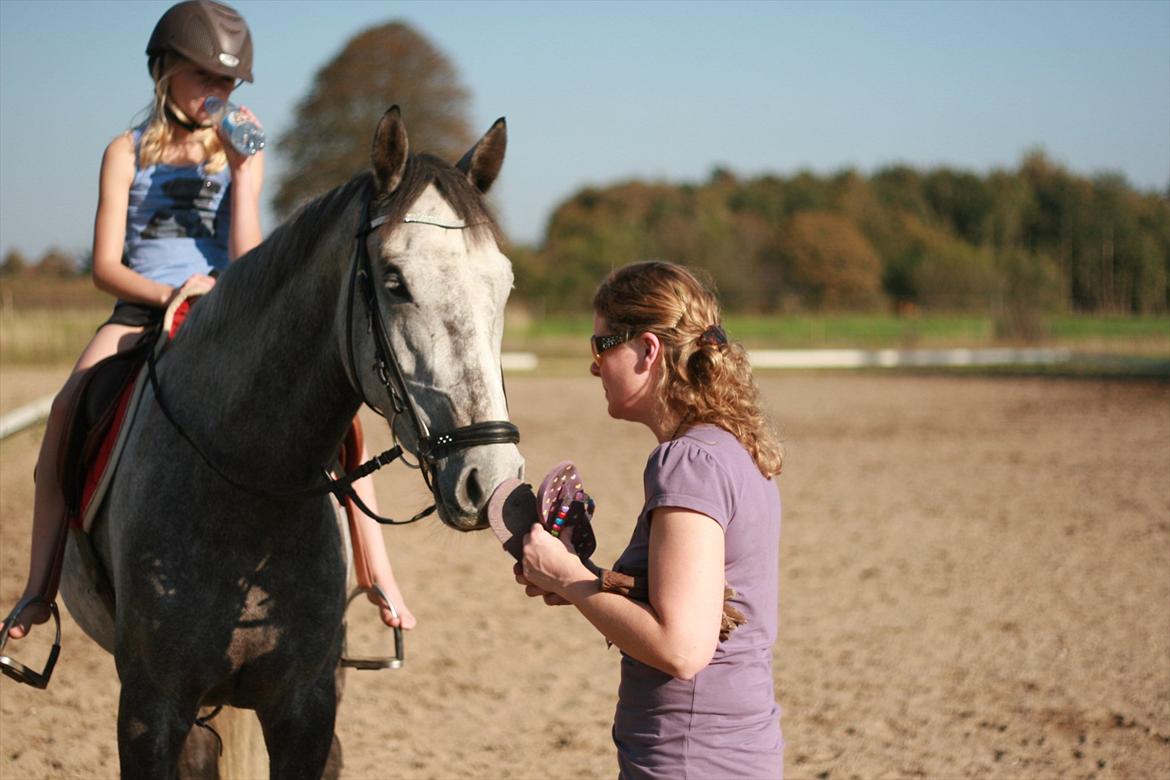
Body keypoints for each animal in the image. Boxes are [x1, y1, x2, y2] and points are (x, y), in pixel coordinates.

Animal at [58, 107, 526, 776]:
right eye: (394, 281)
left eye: (503, 285)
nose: (491, 477)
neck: (246, 486)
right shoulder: (150, 708)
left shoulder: (306, 707)